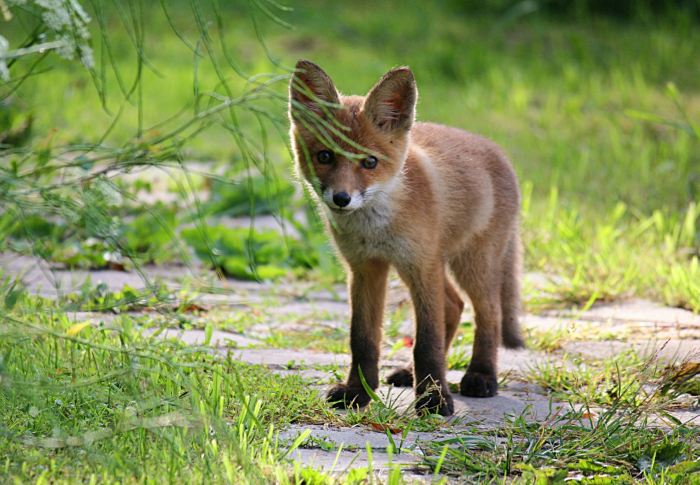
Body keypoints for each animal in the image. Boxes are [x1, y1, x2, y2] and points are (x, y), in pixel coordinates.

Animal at [288, 59, 524, 416]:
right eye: (324, 156)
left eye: (370, 162)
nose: (341, 198)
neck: (375, 228)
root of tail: (497, 149)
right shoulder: (365, 269)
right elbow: (363, 339)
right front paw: (358, 392)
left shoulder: (421, 266)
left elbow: (427, 342)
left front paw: (434, 399)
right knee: (454, 306)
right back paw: (409, 374)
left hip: (472, 264)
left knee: (488, 314)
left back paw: (481, 375)